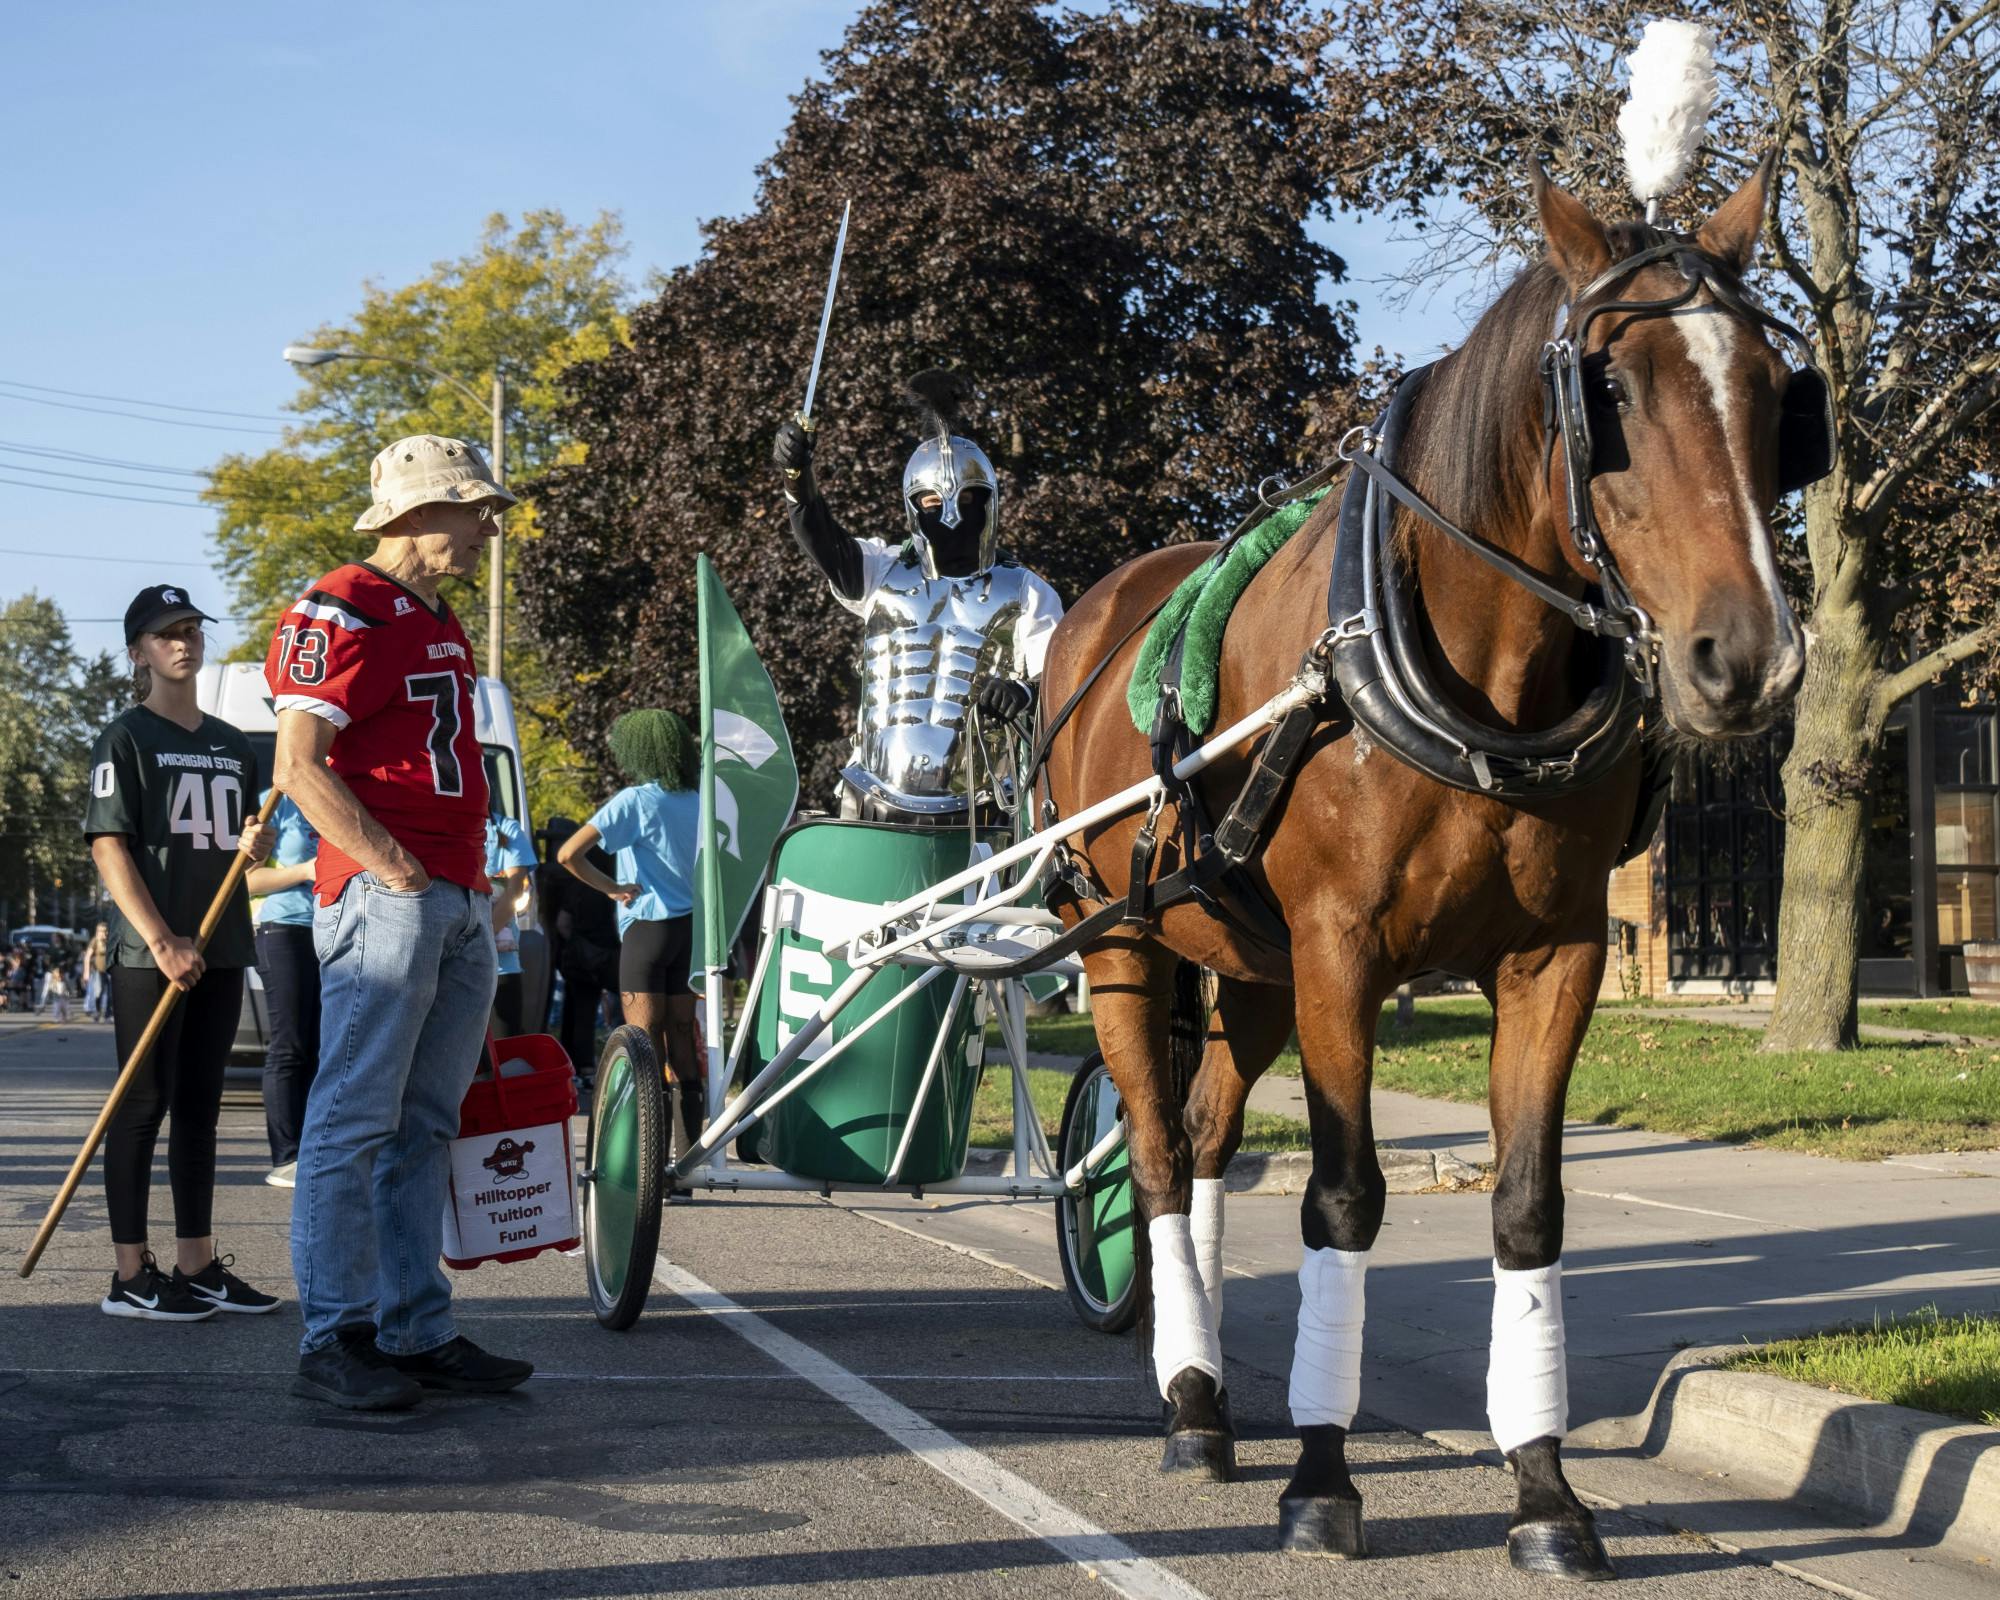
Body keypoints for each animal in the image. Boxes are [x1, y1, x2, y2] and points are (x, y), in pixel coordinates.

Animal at [1040, 156, 1824, 1584]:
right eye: (1608, 391)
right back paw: (1187, 1408)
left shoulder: (1555, 954)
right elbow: (1342, 1199)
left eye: (1770, 391)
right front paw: (1322, 1476)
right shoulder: (1342, 950)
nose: (1746, 659)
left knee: (1205, 1131)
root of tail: (1097, 606)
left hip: (1250, 969)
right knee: (1157, 1158)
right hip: (1121, 939)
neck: (1482, 689)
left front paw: (1543, 1490)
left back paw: (1211, 1390)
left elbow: (1525, 1209)